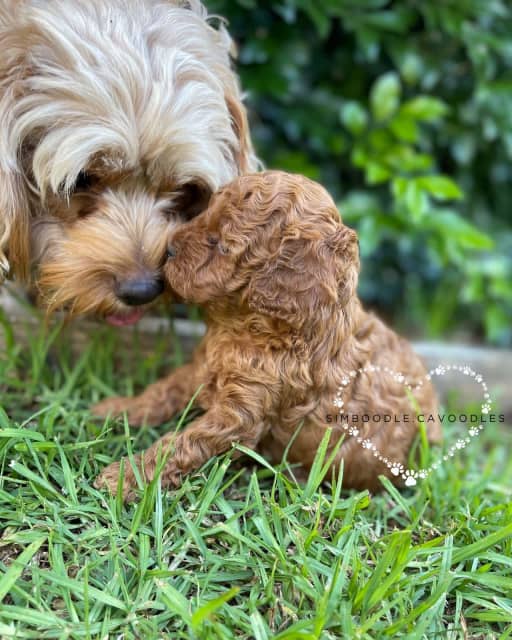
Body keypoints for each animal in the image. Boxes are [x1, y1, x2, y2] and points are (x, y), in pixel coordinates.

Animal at [94, 171, 442, 500]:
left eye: (221, 244)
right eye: (205, 214)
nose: (167, 250)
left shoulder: (241, 415)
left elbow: (183, 444)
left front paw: (127, 477)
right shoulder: (201, 368)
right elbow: (163, 390)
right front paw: (116, 409)